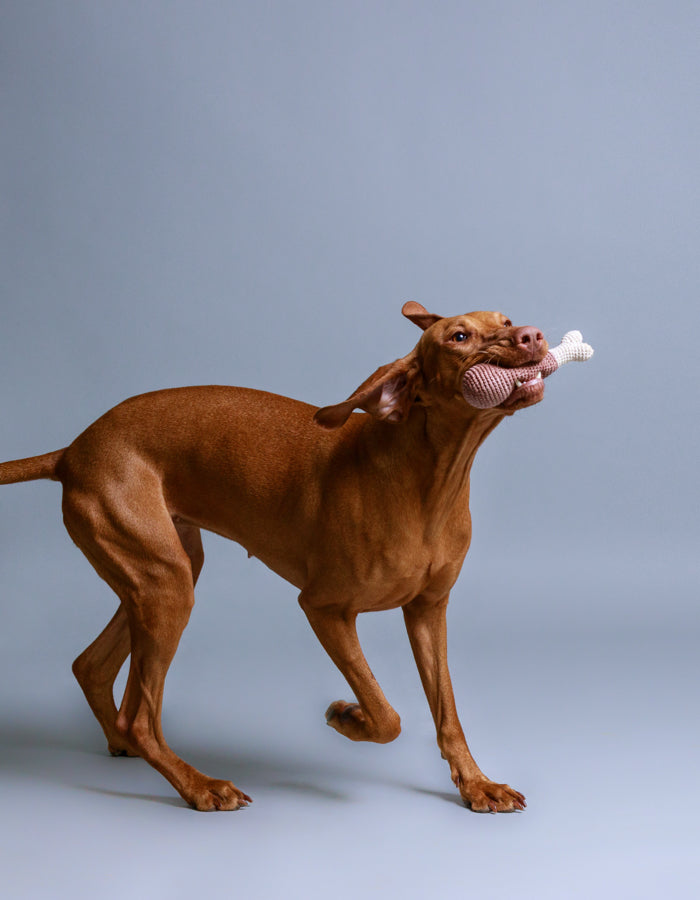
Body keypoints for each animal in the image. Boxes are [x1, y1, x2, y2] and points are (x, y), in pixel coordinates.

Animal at [0, 304, 560, 816]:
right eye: (459, 337)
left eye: (505, 318)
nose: (533, 335)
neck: (429, 479)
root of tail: (73, 451)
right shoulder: (324, 607)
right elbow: (387, 716)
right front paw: (346, 716)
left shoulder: (428, 610)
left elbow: (447, 712)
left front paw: (476, 784)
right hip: (165, 584)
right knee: (140, 717)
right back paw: (199, 786)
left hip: (165, 571)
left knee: (93, 667)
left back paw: (130, 748)